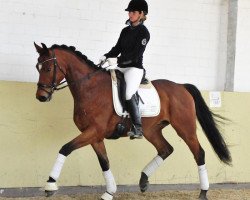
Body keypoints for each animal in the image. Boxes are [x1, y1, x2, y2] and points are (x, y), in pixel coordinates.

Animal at [34, 42, 231, 200]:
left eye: (48, 69)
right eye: (38, 67)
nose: (41, 97)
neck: (90, 89)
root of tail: (181, 87)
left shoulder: (94, 131)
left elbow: (65, 148)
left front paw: (50, 184)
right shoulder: (95, 136)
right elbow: (104, 162)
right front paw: (109, 192)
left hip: (185, 128)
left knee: (199, 153)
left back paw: (203, 192)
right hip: (152, 130)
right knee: (166, 149)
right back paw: (143, 181)